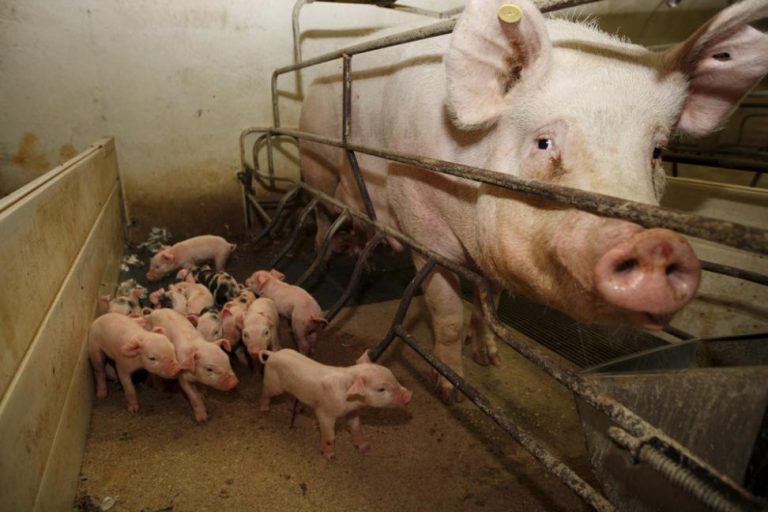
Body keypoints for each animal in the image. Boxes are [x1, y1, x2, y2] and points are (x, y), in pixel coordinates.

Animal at [259, 349, 412, 460]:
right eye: (381, 389)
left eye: (392, 375)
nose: (409, 394)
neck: (350, 400)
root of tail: (273, 354)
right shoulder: (324, 413)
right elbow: (329, 436)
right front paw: (330, 456)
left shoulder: (353, 412)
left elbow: (357, 429)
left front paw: (366, 447)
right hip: (272, 383)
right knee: (266, 393)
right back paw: (265, 410)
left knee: (287, 395)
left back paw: (297, 410)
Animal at [299, 0, 768, 399]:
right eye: (544, 143)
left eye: (657, 152)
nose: (657, 245)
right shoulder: (417, 212)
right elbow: (447, 311)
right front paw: (450, 388)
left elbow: (489, 300)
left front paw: (489, 357)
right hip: (316, 159)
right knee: (321, 212)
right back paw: (330, 256)